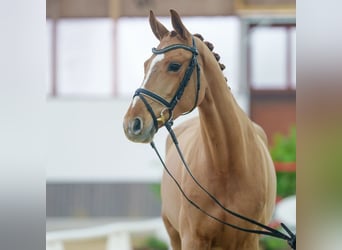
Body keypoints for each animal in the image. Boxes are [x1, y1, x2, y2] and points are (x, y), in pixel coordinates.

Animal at [124, 9, 276, 250]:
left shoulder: (249, 241)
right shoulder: (192, 239)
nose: (132, 123)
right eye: (146, 65)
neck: (226, 166)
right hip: (174, 234)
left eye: (174, 66)